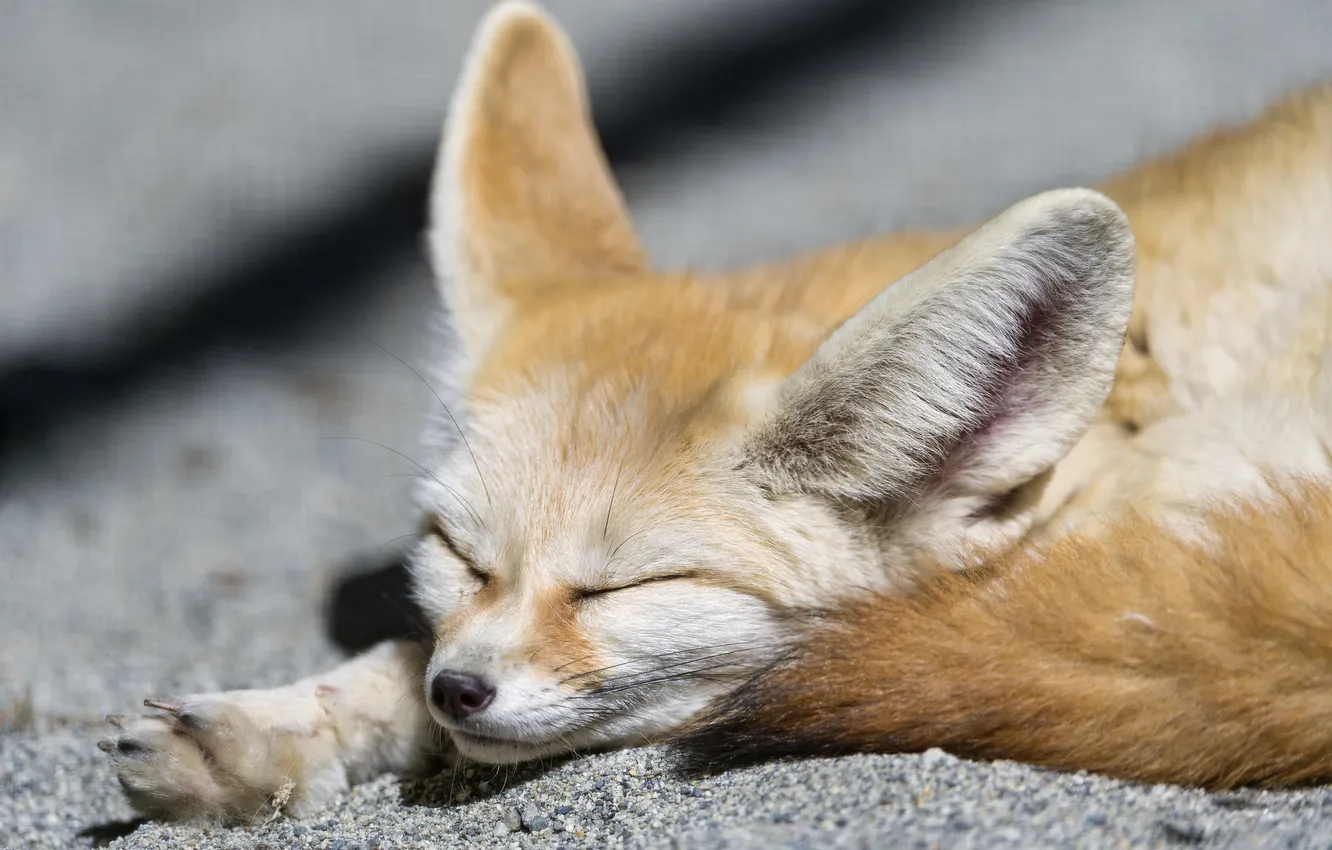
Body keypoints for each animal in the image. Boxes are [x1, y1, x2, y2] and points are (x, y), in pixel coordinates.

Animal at [99, 0, 1332, 824]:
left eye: (626, 588)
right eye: (458, 552)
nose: (463, 686)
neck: (1139, 394)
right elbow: (405, 658)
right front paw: (274, 726)